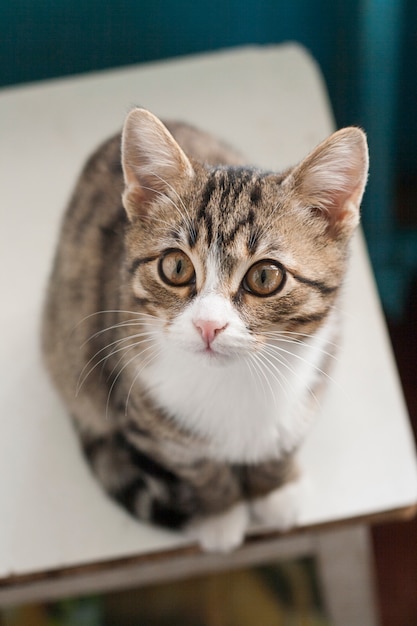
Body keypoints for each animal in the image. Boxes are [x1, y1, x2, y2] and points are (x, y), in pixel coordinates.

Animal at [42, 107, 368, 552]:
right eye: (176, 266)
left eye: (265, 276)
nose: (208, 325)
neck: (236, 382)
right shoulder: (144, 411)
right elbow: (197, 469)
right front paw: (220, 512)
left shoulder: (318, 369)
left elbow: (286, 439)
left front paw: (275, 489)